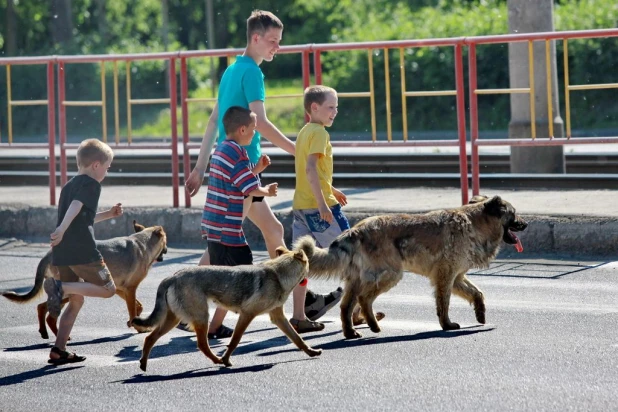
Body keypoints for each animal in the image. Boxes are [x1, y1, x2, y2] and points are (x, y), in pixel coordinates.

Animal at [1, 222, 166, 338]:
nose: (165, 252)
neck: (143, 242)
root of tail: (49, 254)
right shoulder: (129, 289)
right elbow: (133, 309)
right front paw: (137, 326)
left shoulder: (119, 288)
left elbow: (138, 306)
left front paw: (134, 320)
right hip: (73, 289)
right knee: (48, 312)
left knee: (42, 307)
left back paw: (47, 332)